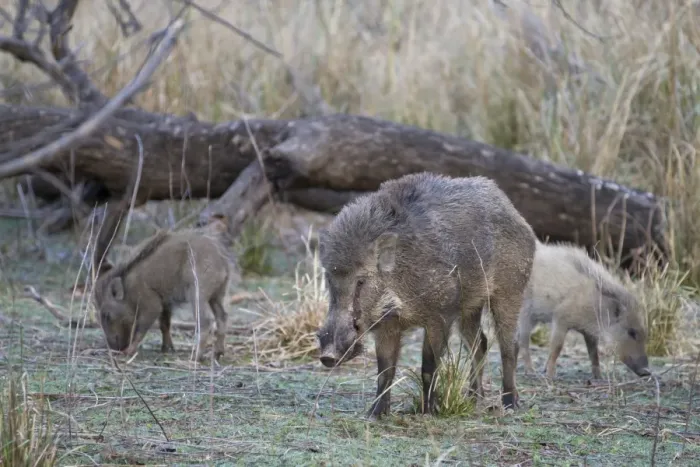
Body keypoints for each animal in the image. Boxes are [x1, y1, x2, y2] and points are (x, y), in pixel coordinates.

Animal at [93, 229, 231, 361]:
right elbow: (164, 324)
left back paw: (195, 357)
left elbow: (141, 329)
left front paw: (129, 352)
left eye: (106, 315)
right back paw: (217, 354)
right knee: (222, 317)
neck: (128, 289)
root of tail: (223, 261)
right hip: (216, 296)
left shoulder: (152, 306)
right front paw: (167, 349)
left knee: (205, 321)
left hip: (197, 293)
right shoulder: (165, 303)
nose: (113, 349)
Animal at [316, 172, 537, 418]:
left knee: (509, 345)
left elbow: (428, 366)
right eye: (329, 278)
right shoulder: (388, 326)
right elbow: (385, 370)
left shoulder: (439, 315)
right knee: (480, 343)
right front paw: (374, 415)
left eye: (361, 280)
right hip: (471, 306)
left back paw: (509, 404)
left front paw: (427, 412)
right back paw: (472, 399)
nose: (327, 356)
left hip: (510, 290)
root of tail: (514, 211)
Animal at [515, 240, 651, 380]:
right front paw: (550, 376)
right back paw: (531, 372)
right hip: (525, 313)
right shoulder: (560, 318)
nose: (647, 371)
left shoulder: (589, 332)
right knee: (522, 340)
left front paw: (599, 378)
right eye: (631, 332)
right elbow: (557, 347)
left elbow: (593, 353)